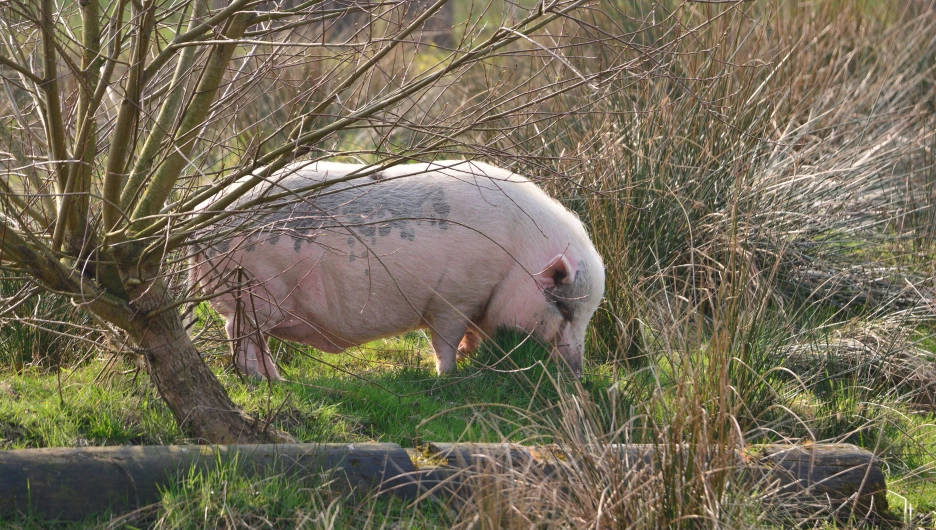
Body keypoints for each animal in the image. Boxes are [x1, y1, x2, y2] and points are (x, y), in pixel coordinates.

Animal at [192, 159, 608, 378]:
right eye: (564, 308)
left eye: (588, 313)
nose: (578, 373)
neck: (517, 258)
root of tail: (201, 218)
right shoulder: (453, 297)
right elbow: (445, 339)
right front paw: (448, 376)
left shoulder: (477, 302)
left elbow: (472, 335)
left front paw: (469, 357)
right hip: (256, 290)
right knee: (240, 334)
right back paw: (268, 381)